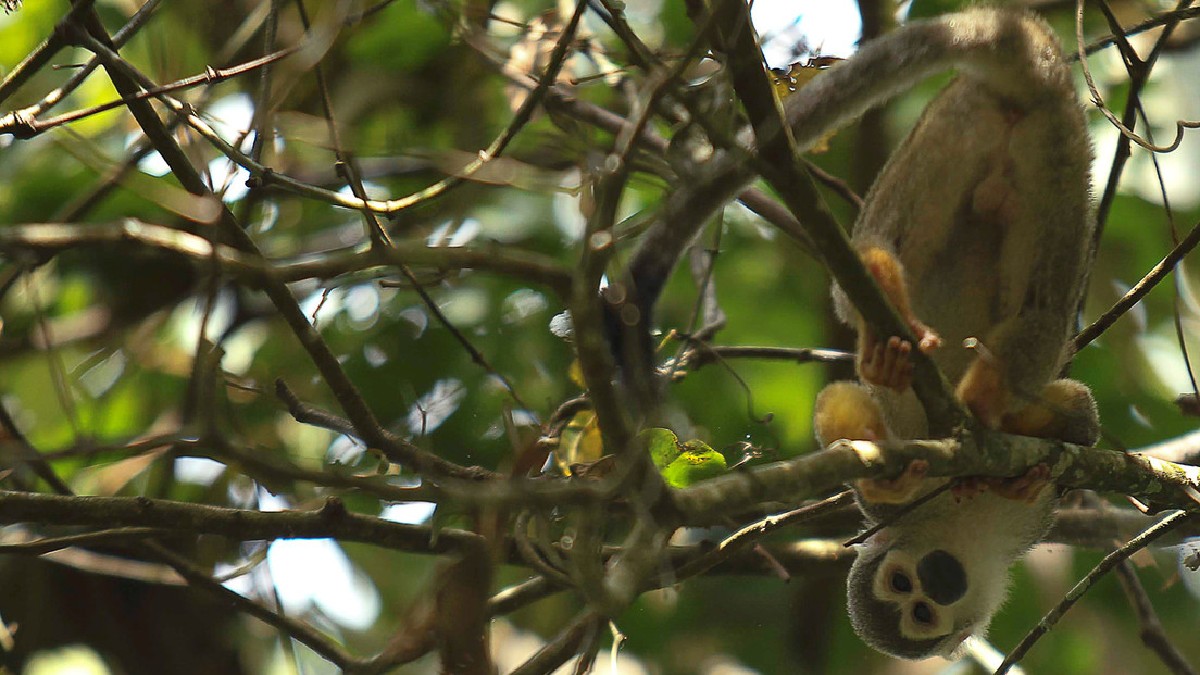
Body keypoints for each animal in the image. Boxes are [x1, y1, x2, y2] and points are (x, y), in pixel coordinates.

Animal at [811, 6, 1099, 658]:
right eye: (902, 591)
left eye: (919, 608)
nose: (931, 586)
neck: (961, 530)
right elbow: (846, 417)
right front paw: (889, 480)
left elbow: (1082, 422)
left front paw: (1029, 473)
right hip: (991, 131)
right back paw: (884, 292)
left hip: (1022, 141)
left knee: (1040, 307)